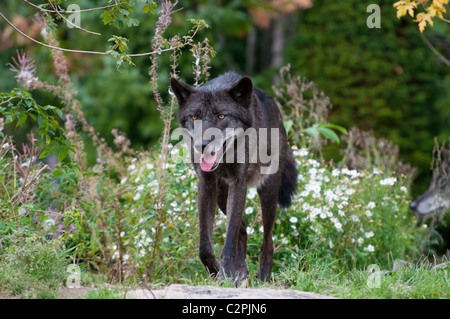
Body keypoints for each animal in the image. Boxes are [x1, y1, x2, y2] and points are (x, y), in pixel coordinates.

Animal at [171, 72, 298, 282]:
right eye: (195, 117)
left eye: (221, 116)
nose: (201, 145)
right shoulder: (206, 185)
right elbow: (205, 246)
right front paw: (218, 271)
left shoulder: (238, 184)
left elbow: (229, 238)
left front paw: (225, 275)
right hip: (222, 197)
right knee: (243, 228)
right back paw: (240, 273)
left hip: (268, 194)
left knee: (267, 240)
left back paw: (262, 277)